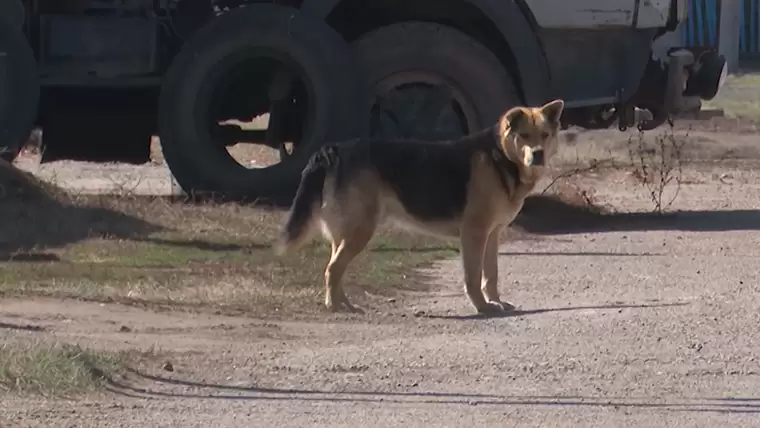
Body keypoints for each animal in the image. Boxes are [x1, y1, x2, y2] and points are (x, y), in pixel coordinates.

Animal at [274, 99, 564, 314]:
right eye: (524, 136)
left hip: (346, 231)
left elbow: (490, 275)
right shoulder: (474, 234)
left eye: (545, 135)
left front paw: (496, 301)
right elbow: (473, 276)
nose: (538, 154)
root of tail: (331, 151)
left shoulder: (492, 235)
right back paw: (336, 307)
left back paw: (343, 303)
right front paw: (482, 307)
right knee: (333, 269)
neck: (500, 157)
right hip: (360, 230)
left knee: (335, 269)